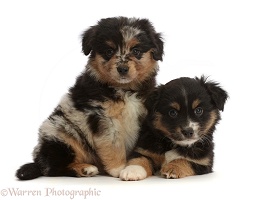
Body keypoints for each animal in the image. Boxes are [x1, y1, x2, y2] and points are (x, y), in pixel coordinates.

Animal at [16, 16, 163, 180]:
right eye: (109, 51)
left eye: (136, 51)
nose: (122, 69)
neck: (124, 88)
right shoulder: (103, 117)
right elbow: (113, 145)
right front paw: (118, 168)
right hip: (62, 135)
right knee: (52, 168)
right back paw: (85, 169)